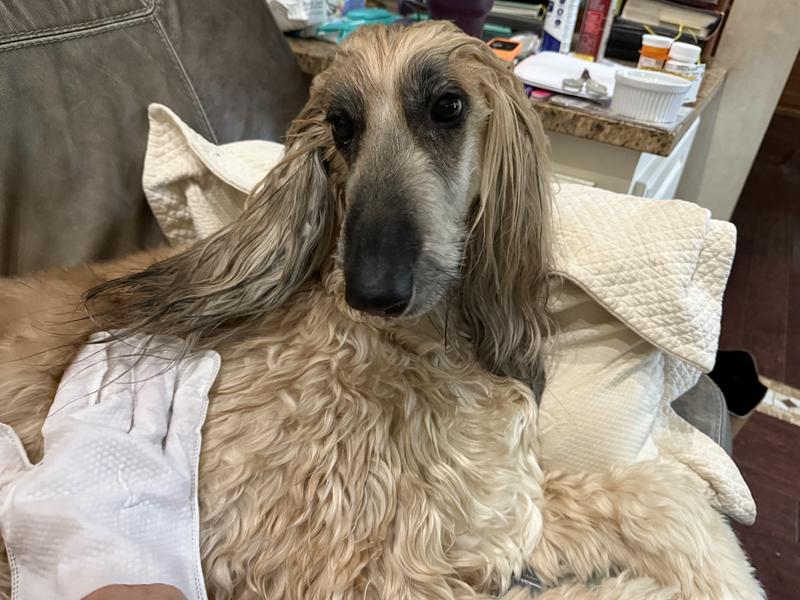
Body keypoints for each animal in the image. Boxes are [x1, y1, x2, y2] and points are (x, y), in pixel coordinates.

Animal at [0, 22, 763, 600]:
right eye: (342, 126)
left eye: (447, 107)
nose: (374, 291)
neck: (414, 349)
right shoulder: (355, 571)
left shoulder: (499, 514)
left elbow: (663, 501)